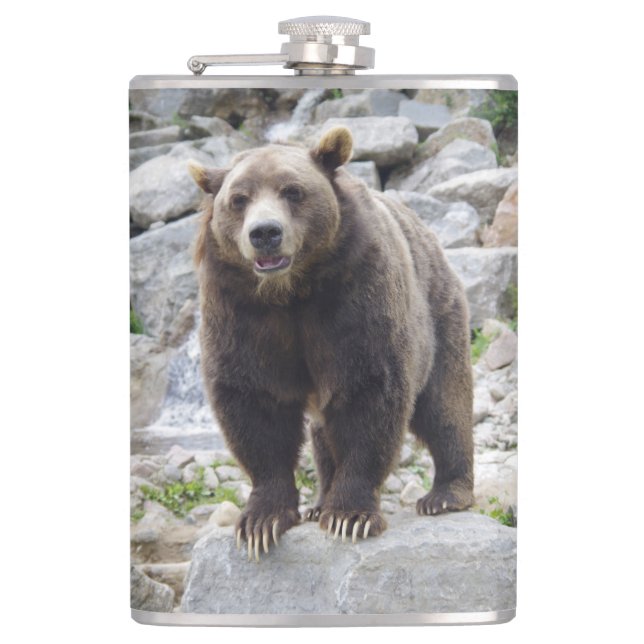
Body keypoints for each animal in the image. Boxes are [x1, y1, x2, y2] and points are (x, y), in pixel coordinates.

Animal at [189, 126, 474, 562]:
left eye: (293, 191)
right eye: (238, 199)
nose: (265, 233)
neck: (291, 292)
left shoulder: (355, 294)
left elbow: (368, 391)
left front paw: (349, 516)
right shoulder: (239, 310)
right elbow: (253, 401)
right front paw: (261, 522)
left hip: (440, 314)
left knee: (445, 404)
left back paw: (446, 494)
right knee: (324, 433)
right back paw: (319, 501)